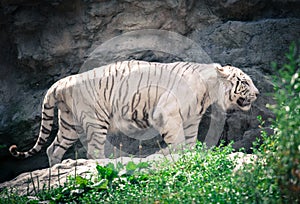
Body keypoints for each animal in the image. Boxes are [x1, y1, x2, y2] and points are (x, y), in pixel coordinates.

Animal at [8, 60, 258, 166]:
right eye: (245, 81)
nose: (257, 93)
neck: (209, 90)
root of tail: (61, 82)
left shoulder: (190, 120)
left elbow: (189, 140)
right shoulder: (167, 113)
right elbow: (178, 141)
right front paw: (176, 157)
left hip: (69, 125)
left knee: (53, 148)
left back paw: (55, 170)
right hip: (95, 120)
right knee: (94, 150)